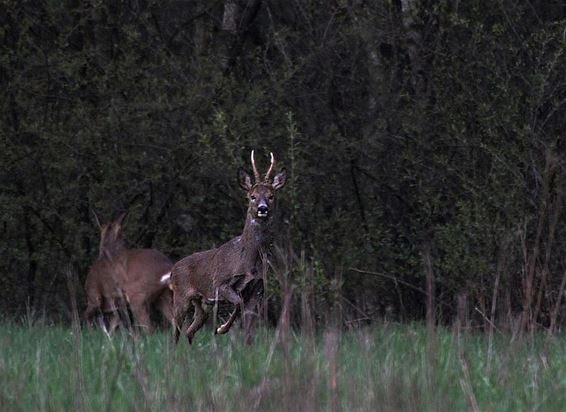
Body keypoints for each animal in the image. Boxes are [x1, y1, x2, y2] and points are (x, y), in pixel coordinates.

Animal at [166, 151, 286, 344]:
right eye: (252, 196)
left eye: (271, 195)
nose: (262, 208)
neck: (249, 261)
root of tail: (172, 270)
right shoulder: (220, 283)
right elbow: (238, 303)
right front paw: (221, 329)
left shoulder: (257, 290)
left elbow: (249, 330)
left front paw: (246, 346)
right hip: (181, 296)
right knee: (175, 331)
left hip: (201, 304)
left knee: (190, 330)